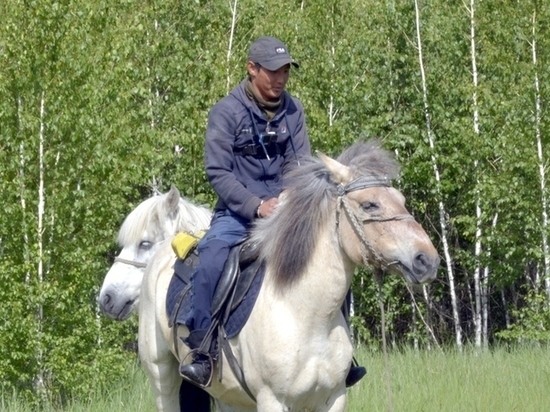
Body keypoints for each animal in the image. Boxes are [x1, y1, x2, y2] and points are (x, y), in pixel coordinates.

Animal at [134, 140, 440, 410]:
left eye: (400, 200)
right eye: (370, 205)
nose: (427, 260)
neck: (305, 314)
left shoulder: (333, 399)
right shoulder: (273, 400)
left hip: (229, 396)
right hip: (162, 376)